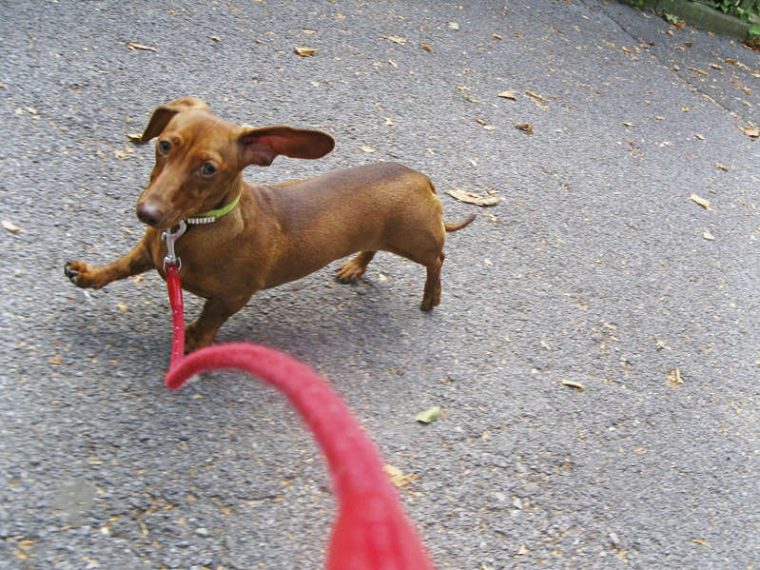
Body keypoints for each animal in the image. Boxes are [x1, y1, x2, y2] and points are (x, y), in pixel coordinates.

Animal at [63, 96, 476, 350]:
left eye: (208, 168)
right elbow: (117, 267)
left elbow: (209, 319)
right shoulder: (148, 252)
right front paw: (88, 274)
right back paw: (355, 266)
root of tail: (421, 177)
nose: (147, 213)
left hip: (416, 242)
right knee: (373, 247)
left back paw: (431, 296)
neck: (194, 227)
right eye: (164, 145)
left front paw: (194, 340)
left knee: (438, 260)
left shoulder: (233, 296)